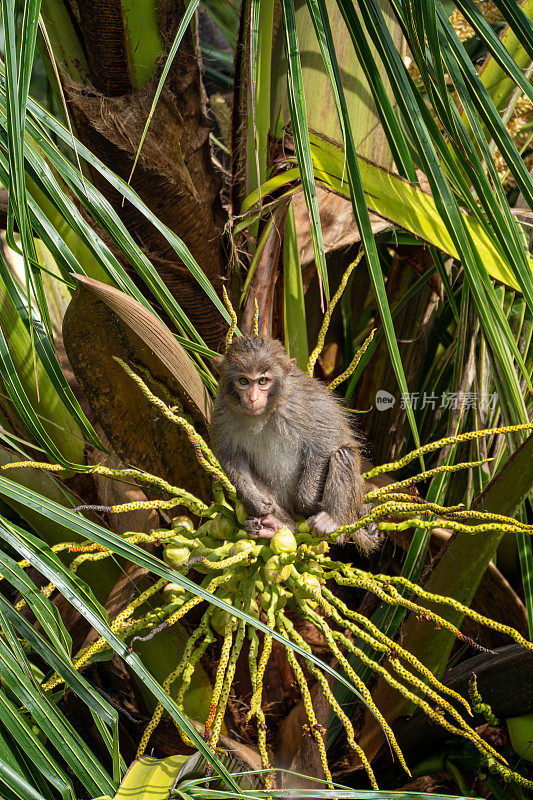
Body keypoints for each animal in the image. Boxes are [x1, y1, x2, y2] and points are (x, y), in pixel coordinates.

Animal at [212, 334, 378, 552]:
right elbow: (230, 457)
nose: (253, 398)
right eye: (243, 381)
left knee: (343, 455)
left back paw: (332, 521)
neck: (265, 413)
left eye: (263, 381)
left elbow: (325, 439)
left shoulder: (297, 402)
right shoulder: (223, 411)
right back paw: (279, 526)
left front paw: (308, 501)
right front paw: (254, 500)